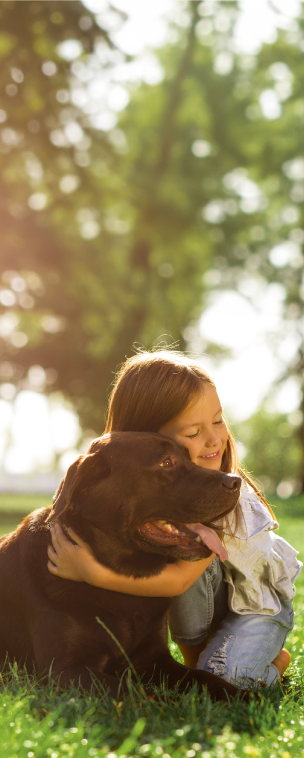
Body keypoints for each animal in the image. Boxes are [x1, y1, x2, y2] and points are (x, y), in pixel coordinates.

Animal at [0, 434, 242, 708]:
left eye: (189, 457)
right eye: (166, 462)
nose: (236, 481)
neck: (122, 587)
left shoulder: (154, 658)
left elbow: (206, 678)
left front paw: (248, 696)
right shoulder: (65, 670)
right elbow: (142, 694)